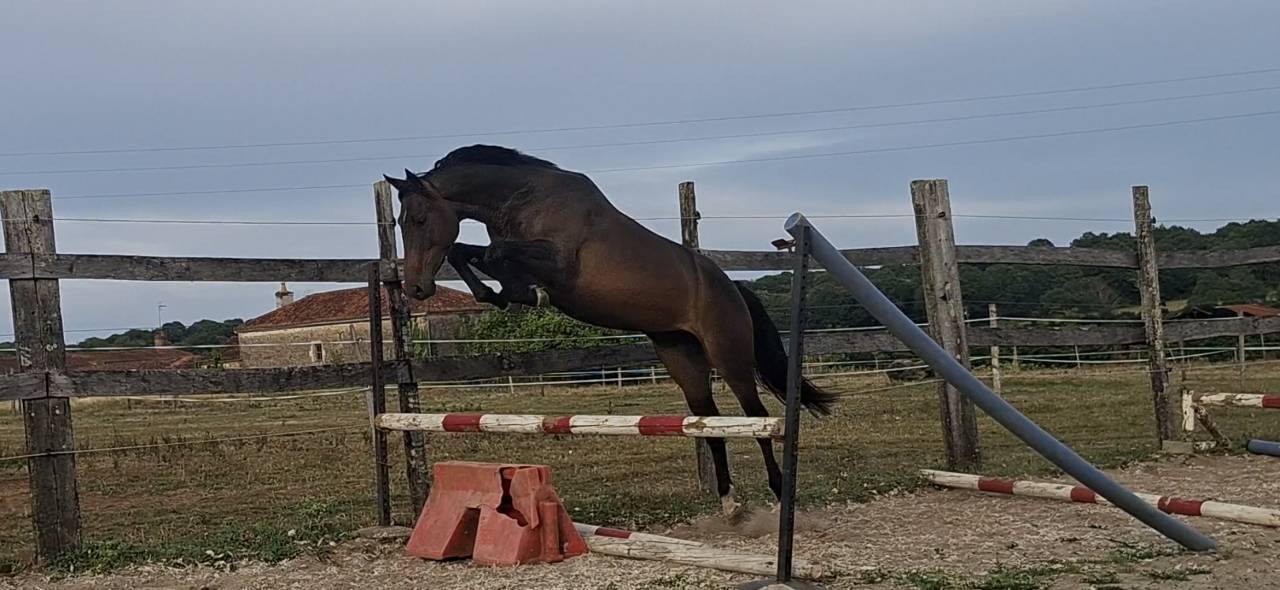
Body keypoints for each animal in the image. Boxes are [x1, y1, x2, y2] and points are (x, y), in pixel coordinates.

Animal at [383, 145, 837, 518]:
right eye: (401, 223)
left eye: (419, 218)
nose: (417, 288)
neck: (525, 198)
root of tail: (732, 287)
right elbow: (468, 252)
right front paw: (497, 295)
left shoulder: (558, 261)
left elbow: (495, 254)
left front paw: (524, 293)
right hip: (681, 357)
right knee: (710, 425)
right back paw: (729, 503)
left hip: (730, 356)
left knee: (756, 419)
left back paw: (779, 494)